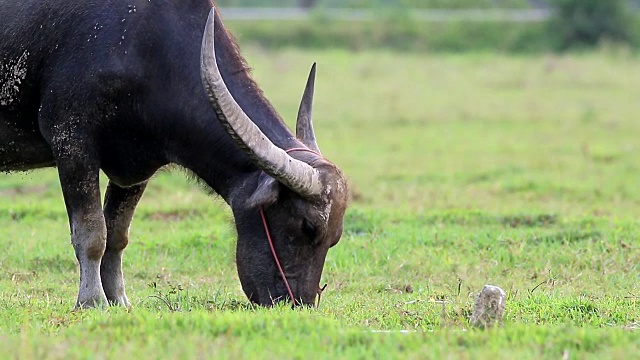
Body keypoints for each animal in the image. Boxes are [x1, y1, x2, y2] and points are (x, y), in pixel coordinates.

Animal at [0, 0, 348, 310]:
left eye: (335, 238)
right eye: (306, 226)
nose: (298, 303)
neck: (142, 43)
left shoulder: (136, 167)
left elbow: (117, 234)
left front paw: (119, 299)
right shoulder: (72, 143)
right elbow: (92, 231)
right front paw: (92, 300)